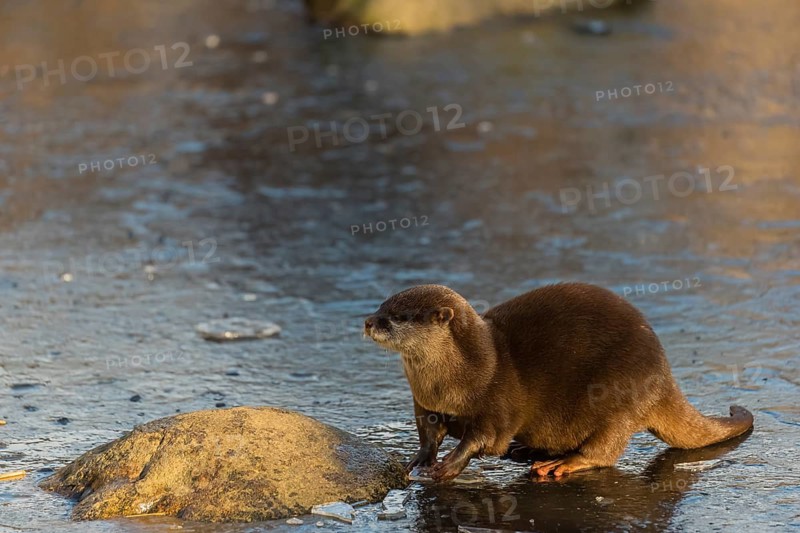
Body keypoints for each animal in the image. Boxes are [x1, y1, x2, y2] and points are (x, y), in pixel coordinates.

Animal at [363, 283, 754, 481]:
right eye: (381, 306)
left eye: (398, 317)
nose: (368, 321)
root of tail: (664, 375)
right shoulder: (424, 404)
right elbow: (428, 433)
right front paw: (419, 459)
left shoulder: (497, 403)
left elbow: (484, 437)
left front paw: (450, 464)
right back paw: (529, 451)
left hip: (623, 393)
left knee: (606, 449)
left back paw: (564, 463)